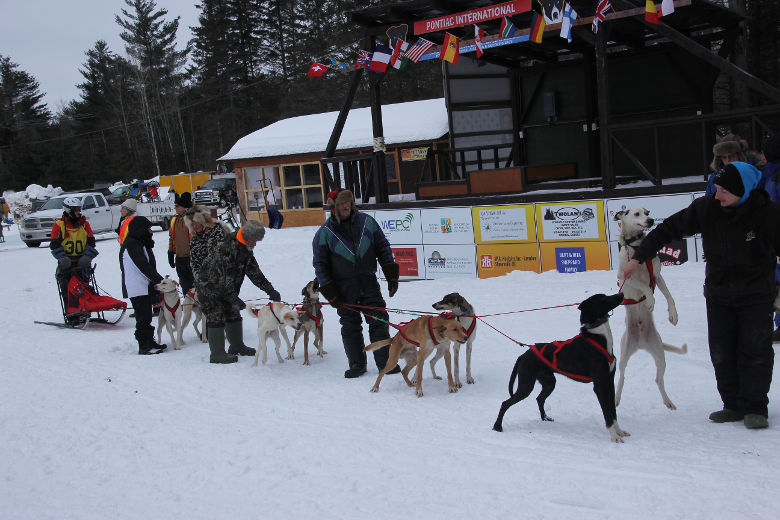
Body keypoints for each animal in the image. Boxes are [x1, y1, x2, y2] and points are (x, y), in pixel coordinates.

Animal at [494, 292, 632, 442]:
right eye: (603, 299)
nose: (621, 294)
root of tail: (524, 355)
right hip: (526, 385)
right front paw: (614, 436)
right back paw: (497, 426)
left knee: (539, 398)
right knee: (505, 403)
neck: (598, 336)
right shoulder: (600, 384)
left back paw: (545, 417)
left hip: (549, 382)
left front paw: (619, 431)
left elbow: (613, 411)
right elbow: (607, 413)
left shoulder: (609, 382)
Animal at [616, 207, 688, 410]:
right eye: (636, 213)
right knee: (621, 377)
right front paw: (650, 300)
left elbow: (669, 296)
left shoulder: (657, 275)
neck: (636, 247)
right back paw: (616, 398)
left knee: (658, 379)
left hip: (660, 356)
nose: (650, 220)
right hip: (624, 356)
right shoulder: (624, 276)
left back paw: (668, 401)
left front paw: (673, 314)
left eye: (646, 212)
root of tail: (640, 344)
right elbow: (644, 286)